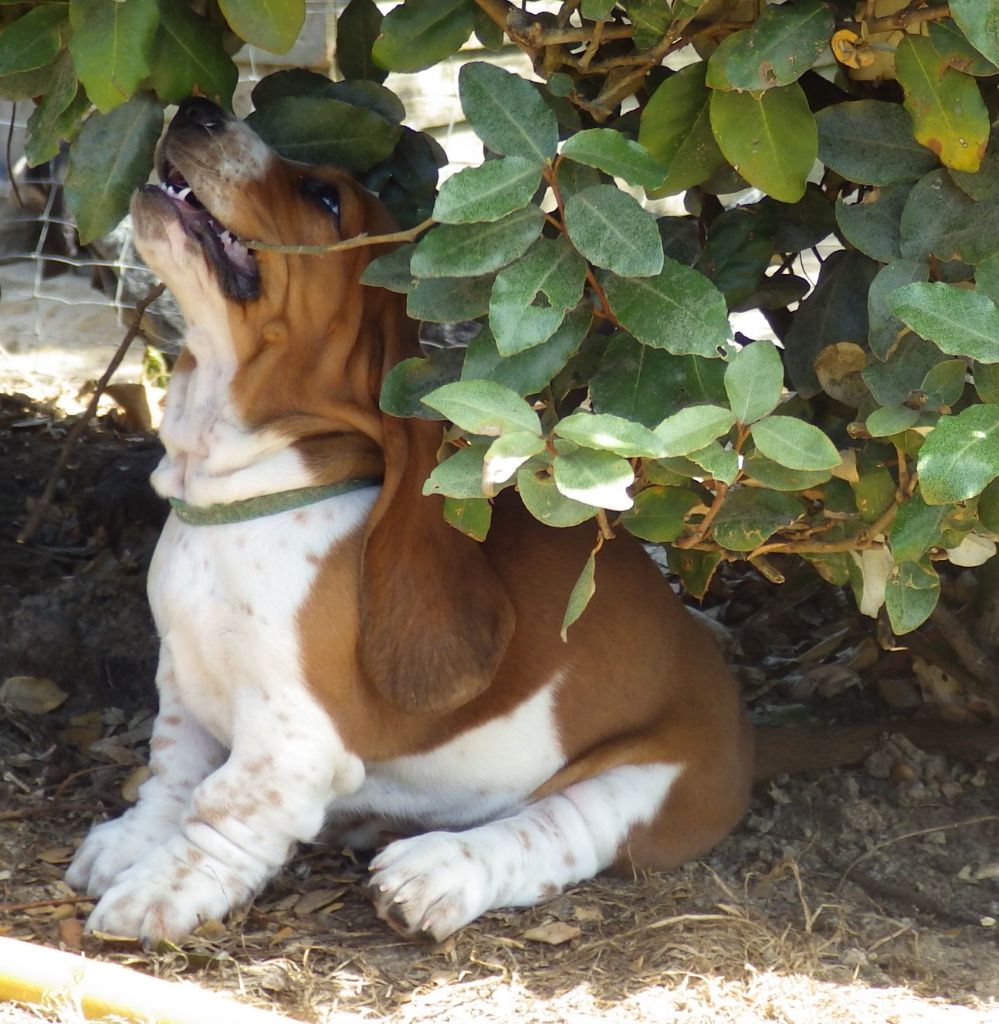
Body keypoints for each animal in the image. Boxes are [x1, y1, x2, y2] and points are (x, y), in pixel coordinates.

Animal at [66, 97, 752, 944]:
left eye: (325, 198)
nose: (198, 107)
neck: (235, 496)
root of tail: (737, 715)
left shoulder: (292, 738)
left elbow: (223, 808)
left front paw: (163, 889)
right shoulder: (184, 679)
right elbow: (170, 771)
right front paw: (131, 843)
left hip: (642, 783)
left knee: (551, 834)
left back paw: (436, 874)